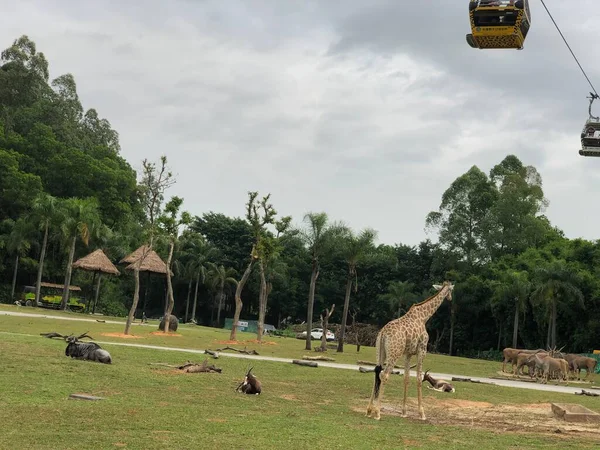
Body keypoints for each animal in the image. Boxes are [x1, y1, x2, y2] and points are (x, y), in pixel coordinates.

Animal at [366, 282, 454, 422]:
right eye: (451, 290)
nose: (450, 299)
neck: (424, 317)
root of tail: (383, 333)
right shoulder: (422, 350)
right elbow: (418, 378)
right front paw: (422, 414)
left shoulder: (408, 354)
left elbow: (406, 378)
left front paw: (404, 412)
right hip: (394, 353)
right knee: (384, 375)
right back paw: (377, 412)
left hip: (380, 352)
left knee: (377, 373)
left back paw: (369, 410)